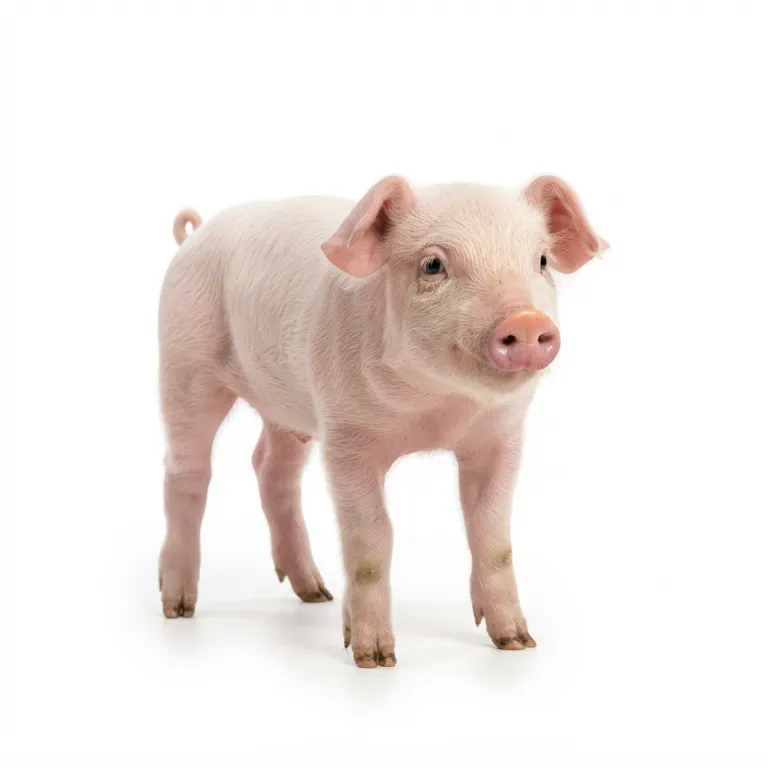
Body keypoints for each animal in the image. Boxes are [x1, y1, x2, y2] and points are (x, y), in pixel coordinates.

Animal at [158, 175, 607, 668]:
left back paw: (315, 594)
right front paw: (374, 659)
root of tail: (195, 234)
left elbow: (492, 535)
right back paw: (178, 607)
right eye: (433, 264)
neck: (437, 409)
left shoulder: (501, 435)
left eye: (541, 260)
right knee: (186, 470)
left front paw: (517, 642)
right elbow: (372, 537)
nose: (525, 320)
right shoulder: (345, 437)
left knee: (270, 467)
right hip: (184, 360)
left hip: (287, 402)